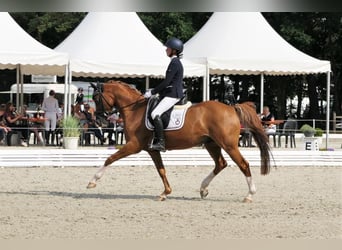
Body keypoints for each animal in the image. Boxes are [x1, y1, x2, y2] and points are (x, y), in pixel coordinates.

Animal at [87, 80, 272, 201]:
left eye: (96, 98)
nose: (101, 121)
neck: (135, 110)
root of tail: (231, 108)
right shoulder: (152, 149)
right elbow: (161, 170)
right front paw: (165, 192)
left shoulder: (133, 146)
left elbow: (110, 158)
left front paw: (92, 181)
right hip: (211, 144)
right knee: (221, 164)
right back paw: (203, 189)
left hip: (228, 145)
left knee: (243, 164)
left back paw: (249, 195)